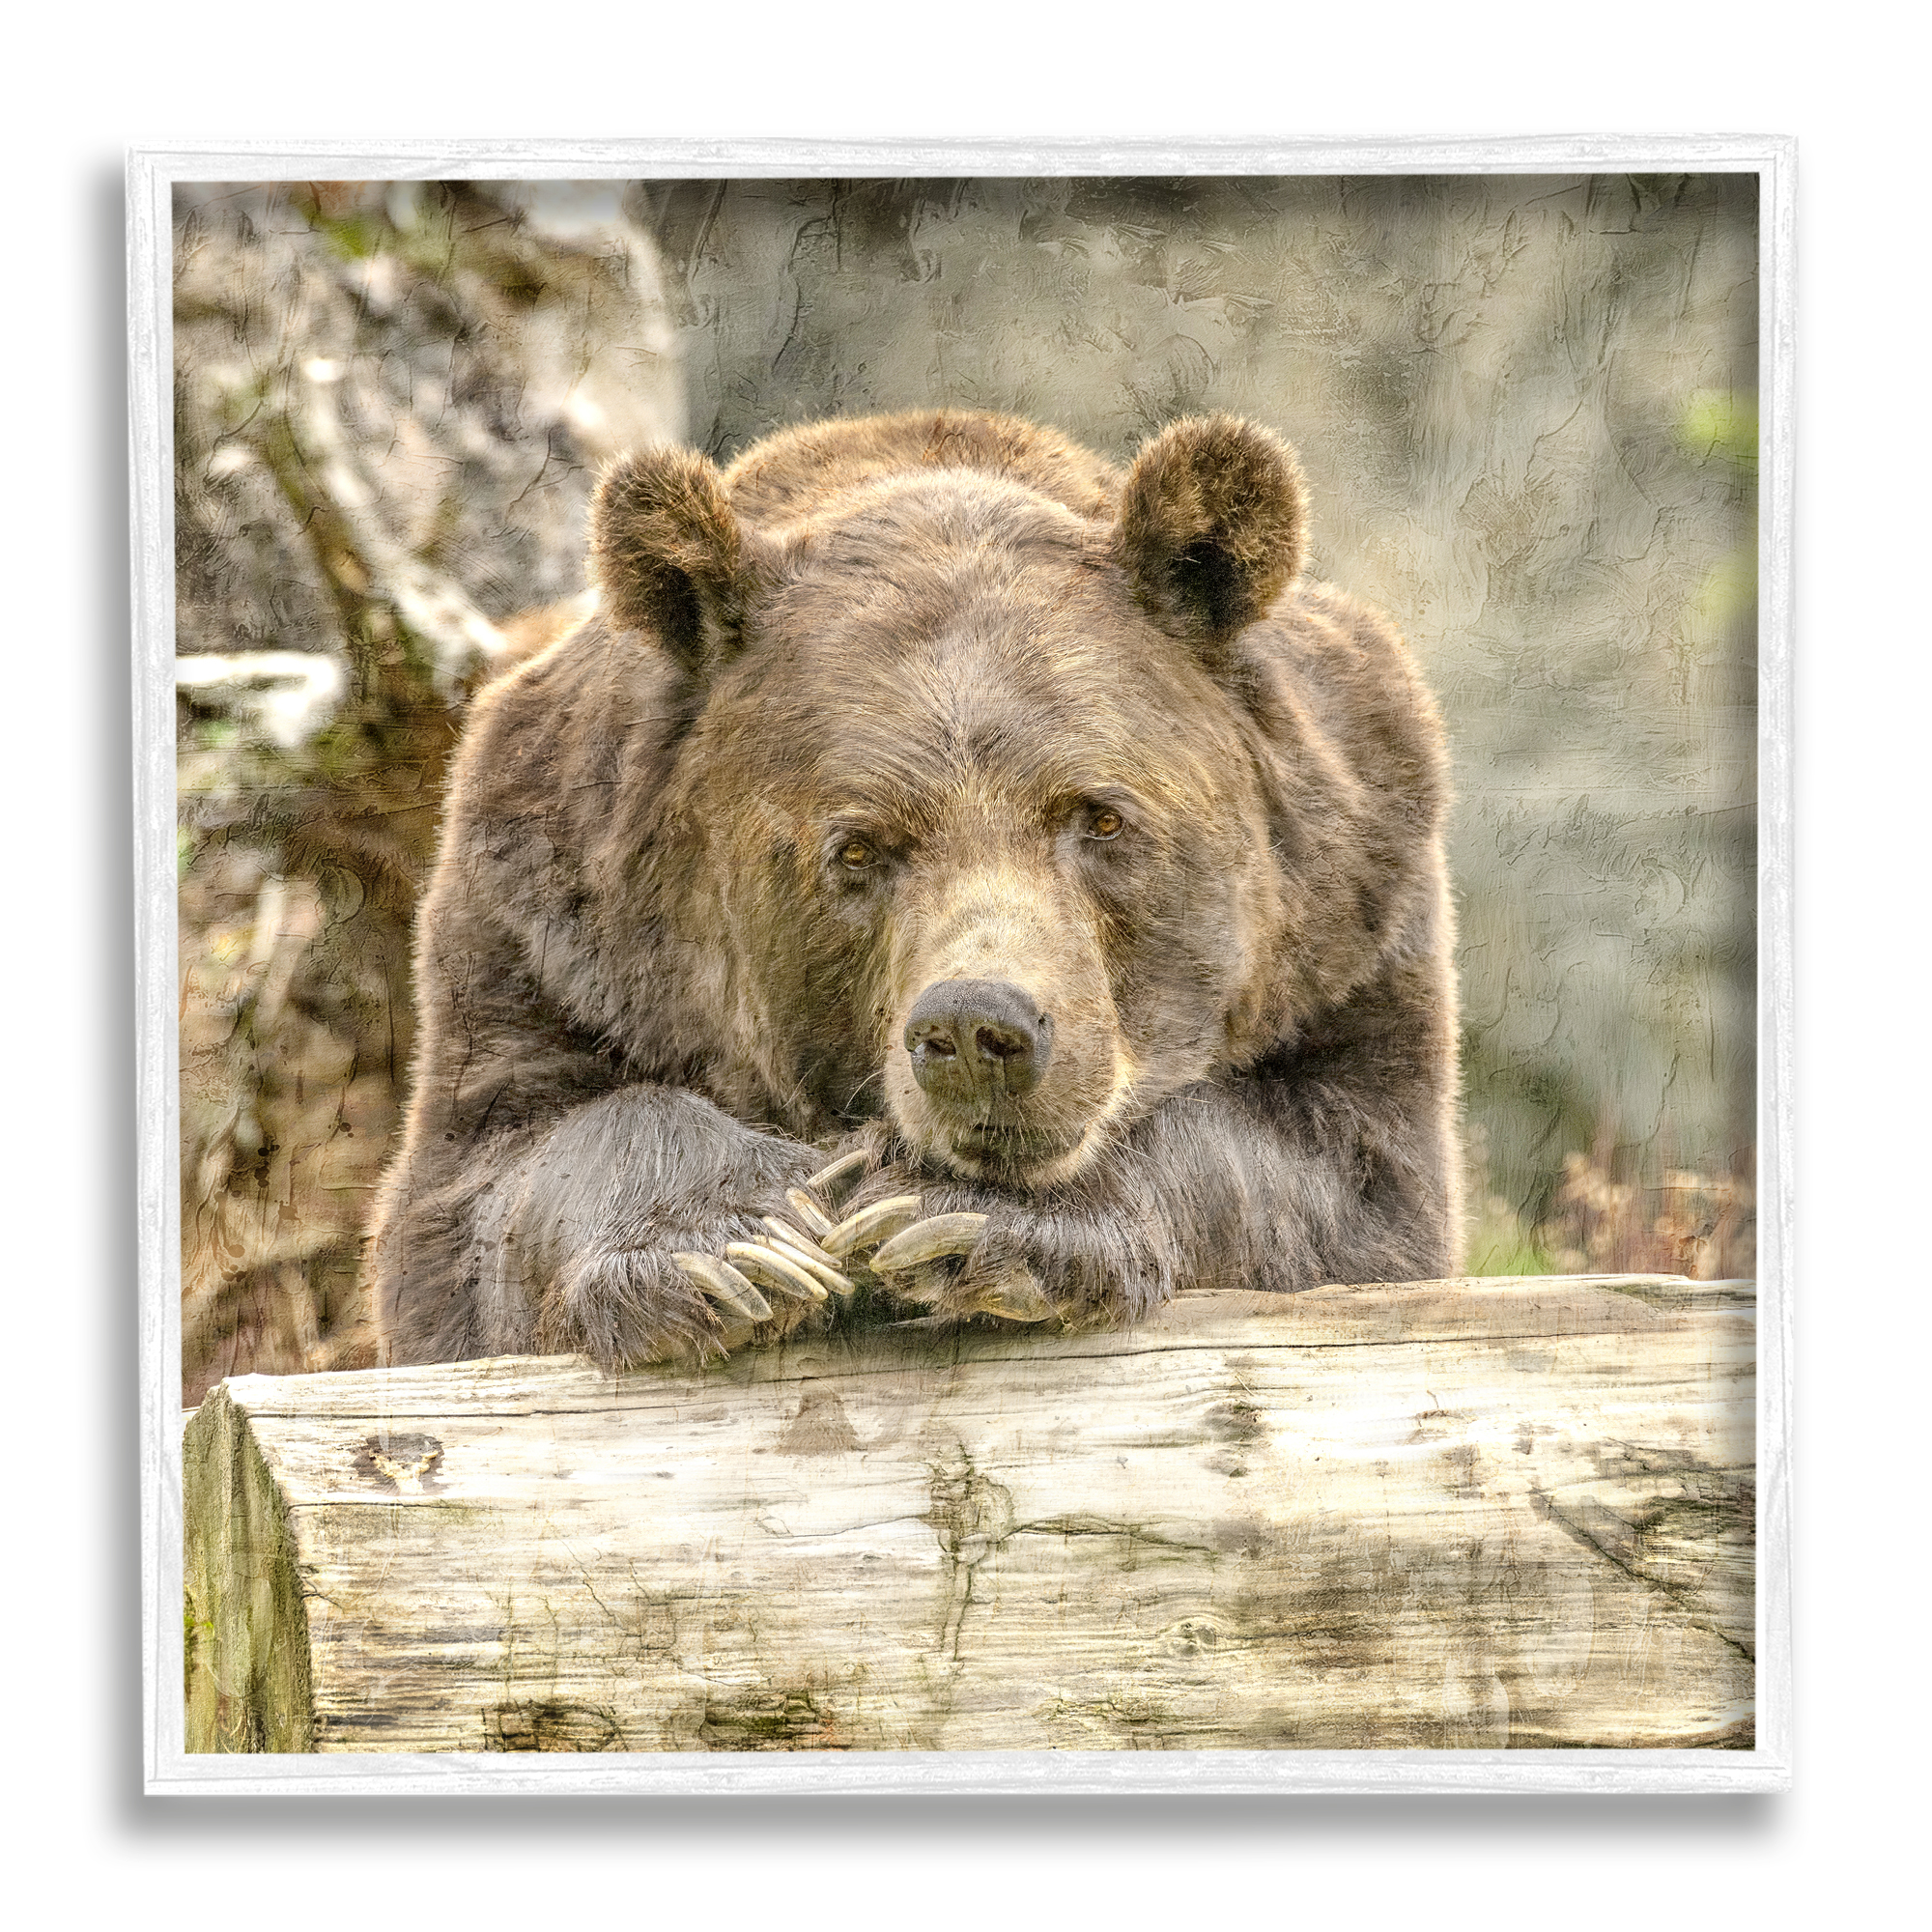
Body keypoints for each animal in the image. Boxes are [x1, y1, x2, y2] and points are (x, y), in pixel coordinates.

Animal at [368, 407, 1461, 1367]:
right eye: (857, 849)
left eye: (1099, 816)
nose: (978, 1028)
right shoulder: (548, 930)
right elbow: (489, 1184)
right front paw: (740, 1245)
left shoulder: (1351, 919)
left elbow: (1335, 1176)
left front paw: (958, 1217)